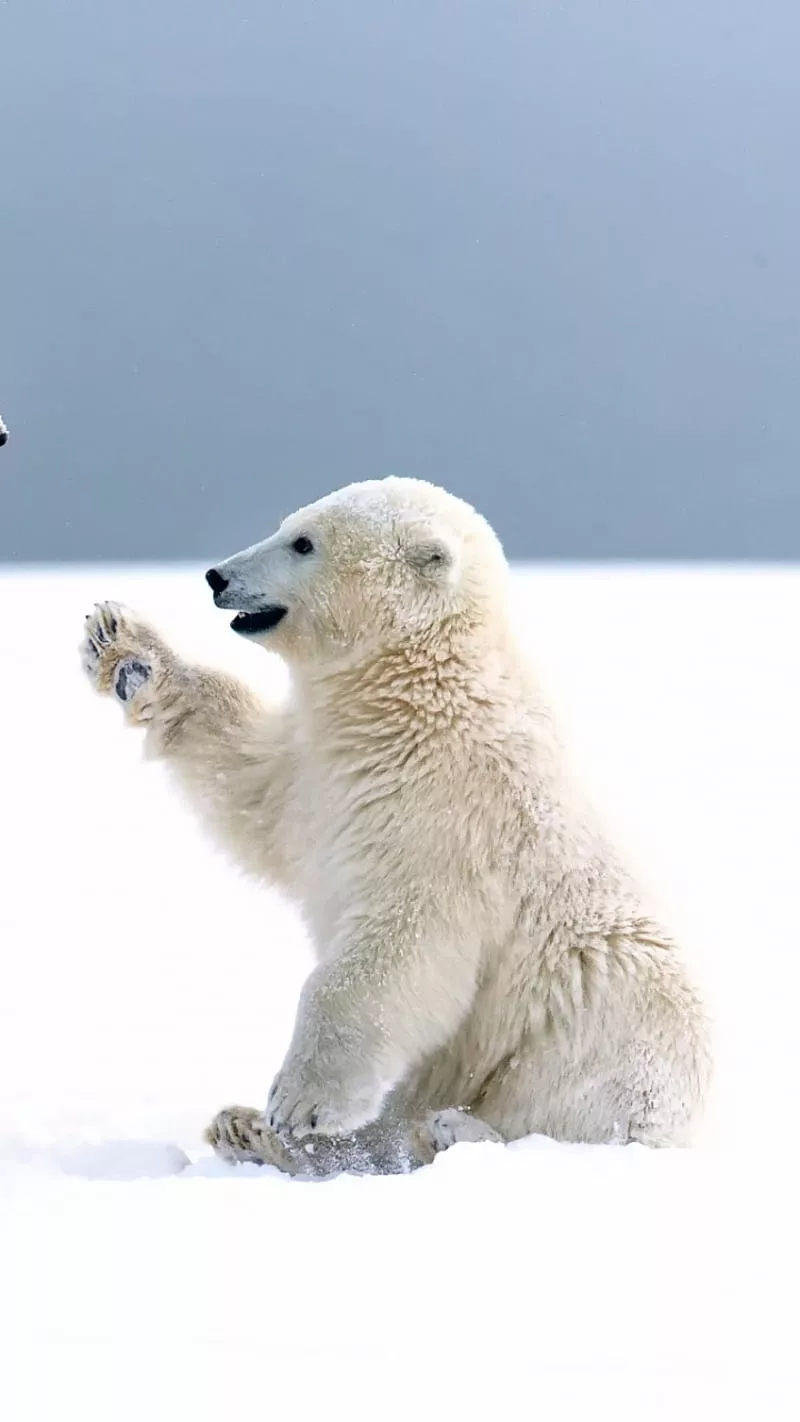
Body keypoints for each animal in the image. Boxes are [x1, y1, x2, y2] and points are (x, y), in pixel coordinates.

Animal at [81, 477, 712, 1176]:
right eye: (288, 526)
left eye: (304, 543)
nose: (217, 576)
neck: (415, 695)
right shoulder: (323, 769)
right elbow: (250, 786)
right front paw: (122, 645)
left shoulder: (448, 813)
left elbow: (398, 949)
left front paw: (300, 1103)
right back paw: (247, 1129)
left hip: (600, 1022)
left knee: (576, 1102)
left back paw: (451, 1131)